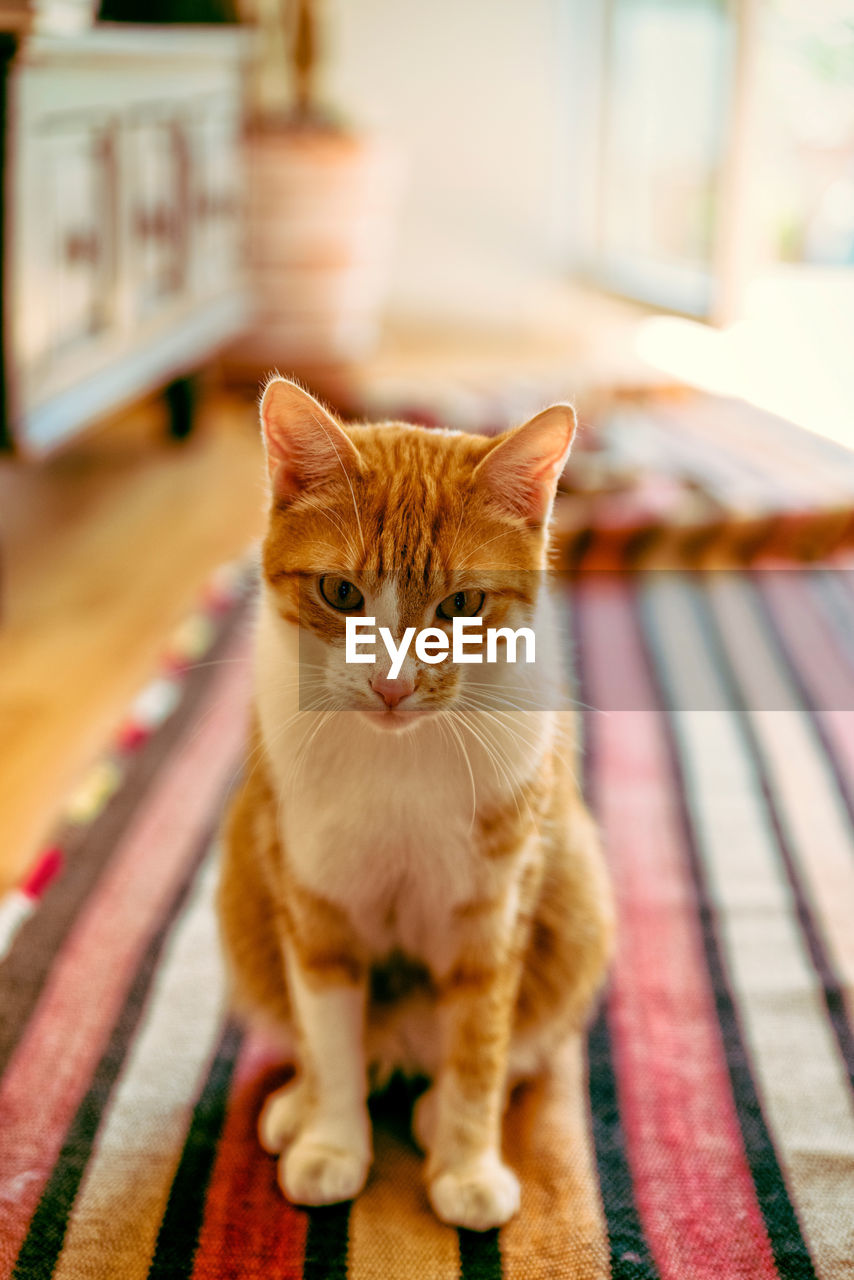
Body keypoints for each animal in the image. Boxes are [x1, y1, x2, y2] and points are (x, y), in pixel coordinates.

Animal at [217, 376, 612, 1228]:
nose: (392, 683)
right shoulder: (314, 904)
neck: (397, 762)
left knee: (512, 1047)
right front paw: (331, 1142)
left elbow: (479, 1051)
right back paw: (300, 1104)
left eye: (462, 605)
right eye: (340, 592)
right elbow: (330, 1039)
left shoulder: (493, 916)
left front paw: (466, 1165)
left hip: (579, 894)